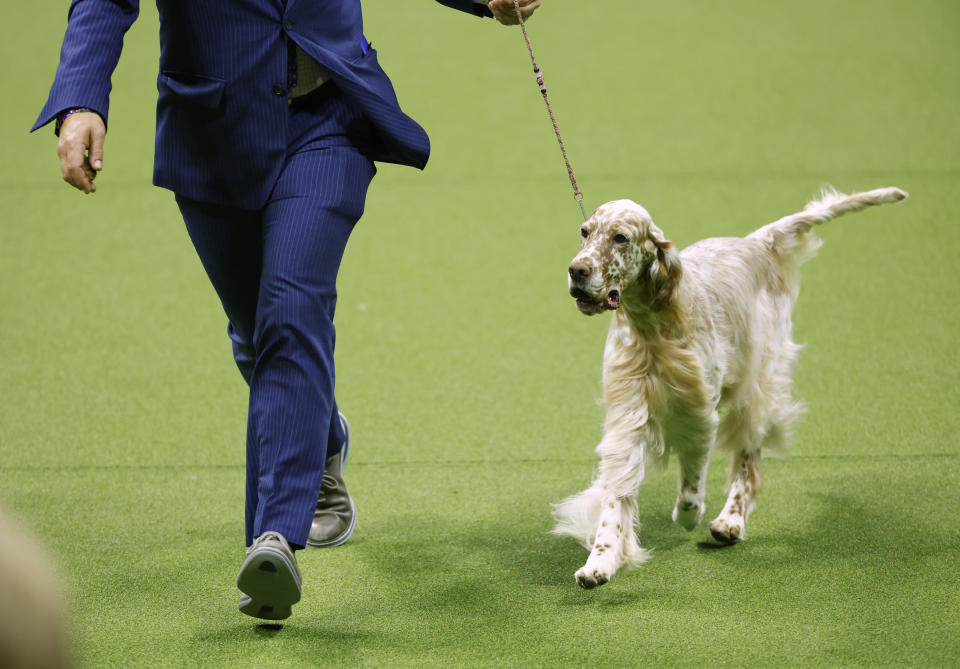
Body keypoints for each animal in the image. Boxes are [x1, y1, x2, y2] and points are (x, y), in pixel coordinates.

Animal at [556, 185, 908, 588]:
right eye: (585, 232)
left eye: (620, 237)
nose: (577, 270)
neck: (653, 327)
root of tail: (756, 242)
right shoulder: (628, 415)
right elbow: (616, 498)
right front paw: (600, 562)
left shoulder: (697, 412)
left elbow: (692, 480)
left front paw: (689, 514)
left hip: (759, 383)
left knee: (747, 459)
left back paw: (730, 520)